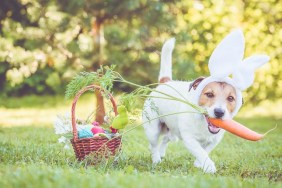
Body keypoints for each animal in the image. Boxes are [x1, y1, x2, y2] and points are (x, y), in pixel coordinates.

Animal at [142, 29, 270, 173]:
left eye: (230, 98)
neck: (203, 122)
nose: (219, 112)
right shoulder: (190, 138)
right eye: (209, 94)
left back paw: (162, 154)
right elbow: (200, 151)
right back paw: (156, 159)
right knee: (153, 145)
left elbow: (206, 150)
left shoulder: (214, 140)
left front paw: (199, 164)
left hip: (171, 130)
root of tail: (166, 82)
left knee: (165, 138)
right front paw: (209, 166)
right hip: (153, 128)